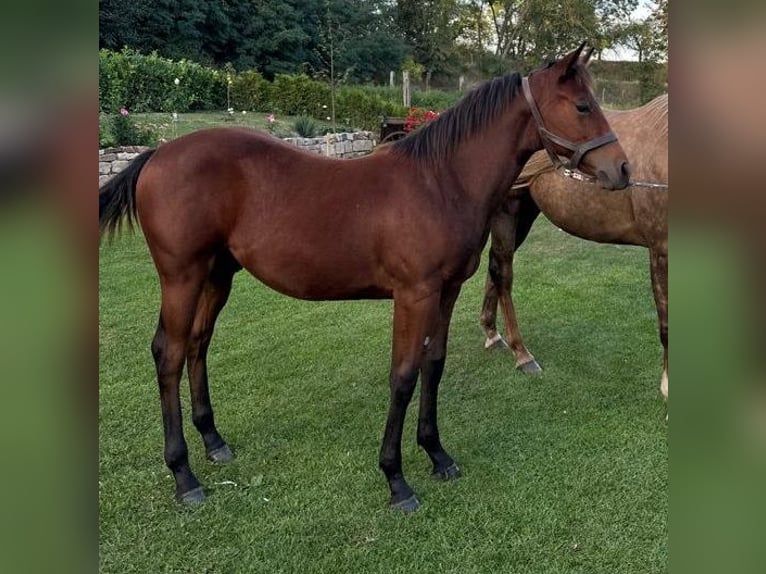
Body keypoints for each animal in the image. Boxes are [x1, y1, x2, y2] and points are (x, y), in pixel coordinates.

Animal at [99, 45, 632, 512]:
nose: (623, 170)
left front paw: (437, 454)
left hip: (217, 276)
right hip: (182, 277)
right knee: (168, 353)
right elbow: (403, 376)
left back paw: (214, 441)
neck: (440, 182)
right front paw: (396, 480)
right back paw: (184, 476)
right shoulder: (414, 296)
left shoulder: (447, 292)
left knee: (197, 344)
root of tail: (155, 156)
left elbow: (433, 366)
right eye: (583, 106)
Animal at [484, 94, 668, 400]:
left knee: (493, 269)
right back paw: (522, 355)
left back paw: (492, 334)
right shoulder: (661, 250)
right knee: (503, 273)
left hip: (525, 213)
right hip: (507, 211)